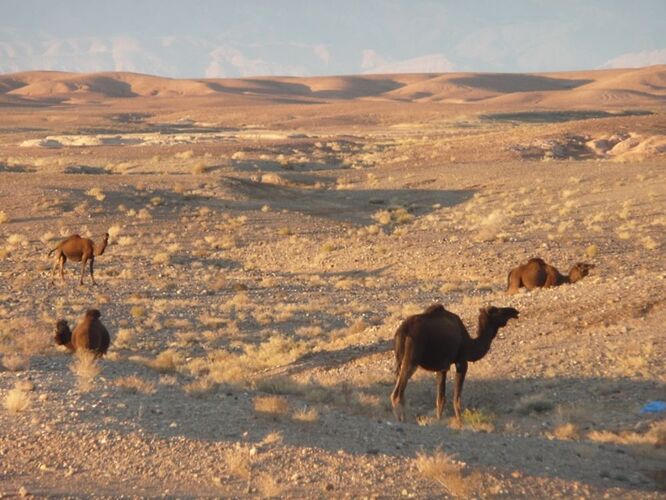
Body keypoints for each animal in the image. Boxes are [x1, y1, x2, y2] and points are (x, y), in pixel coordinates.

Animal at [390, 304, 520, 422]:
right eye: (497, 310)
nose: (514, 311)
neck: (469, 344)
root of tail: (402, 331)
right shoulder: (461, 362)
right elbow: (456, 398)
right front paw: (460, 421)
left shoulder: (442, 367)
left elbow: (440, 399)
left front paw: (439, 420)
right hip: (412, 360)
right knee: (397, 394)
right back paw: (401, 420)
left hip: (399, 360)